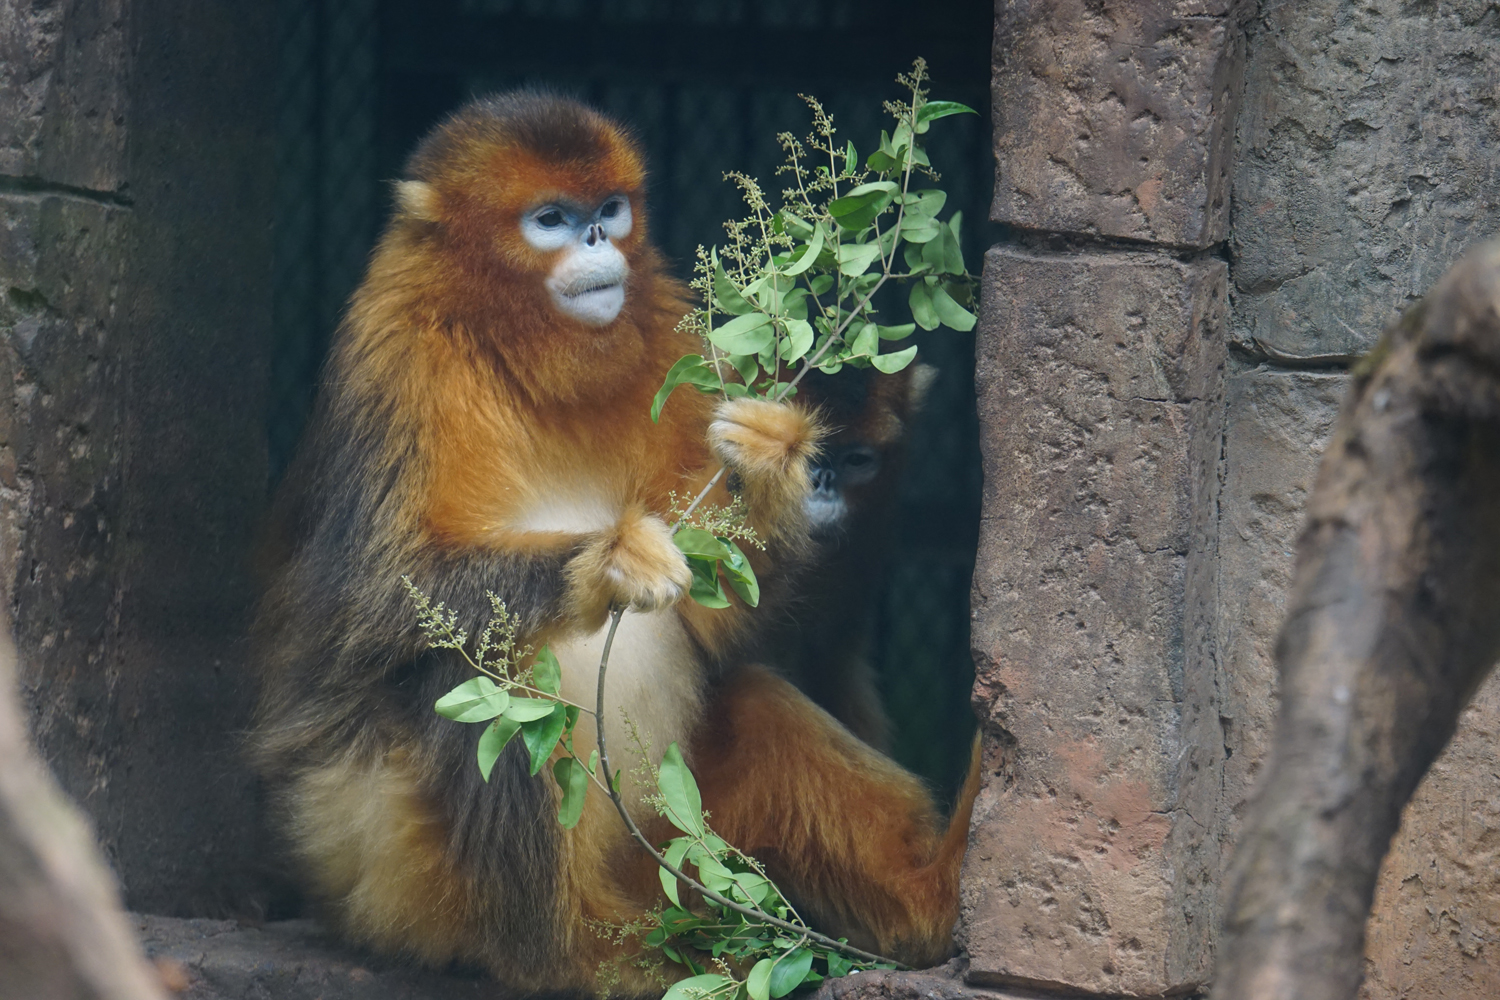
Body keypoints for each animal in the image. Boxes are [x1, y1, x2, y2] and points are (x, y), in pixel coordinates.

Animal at [249, 92, 975, 996]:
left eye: (609, 209)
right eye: (551, 220)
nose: (596, 239)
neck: (521, 350)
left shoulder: (676, 342)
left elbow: (715, 623)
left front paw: (768, 464)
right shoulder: (395, 359)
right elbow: (372, 605)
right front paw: (609, 559)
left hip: (670, 845)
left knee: (752, 701)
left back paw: (929, 903)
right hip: (377, 860)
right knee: (494, 672)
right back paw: (572, 955)